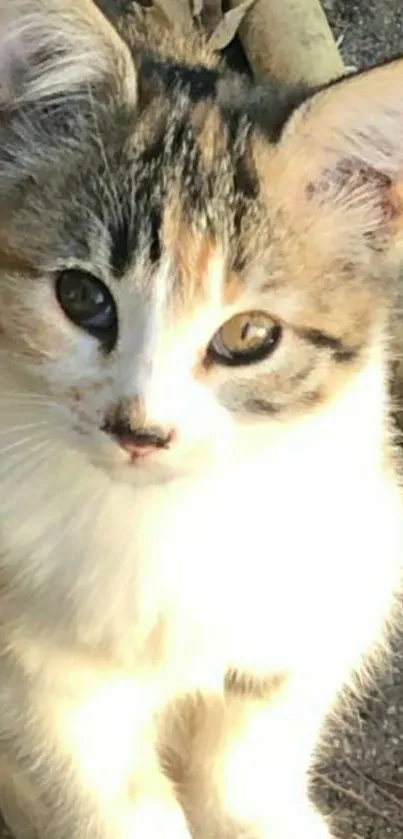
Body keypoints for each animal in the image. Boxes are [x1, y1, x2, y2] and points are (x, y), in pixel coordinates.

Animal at [0, 1, 402, 839]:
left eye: (249, 334)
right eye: (83, 297)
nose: (140, 430)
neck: (156, 522)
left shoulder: (348, 565)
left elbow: (255, 738)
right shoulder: (38, 675)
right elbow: (106, 794)